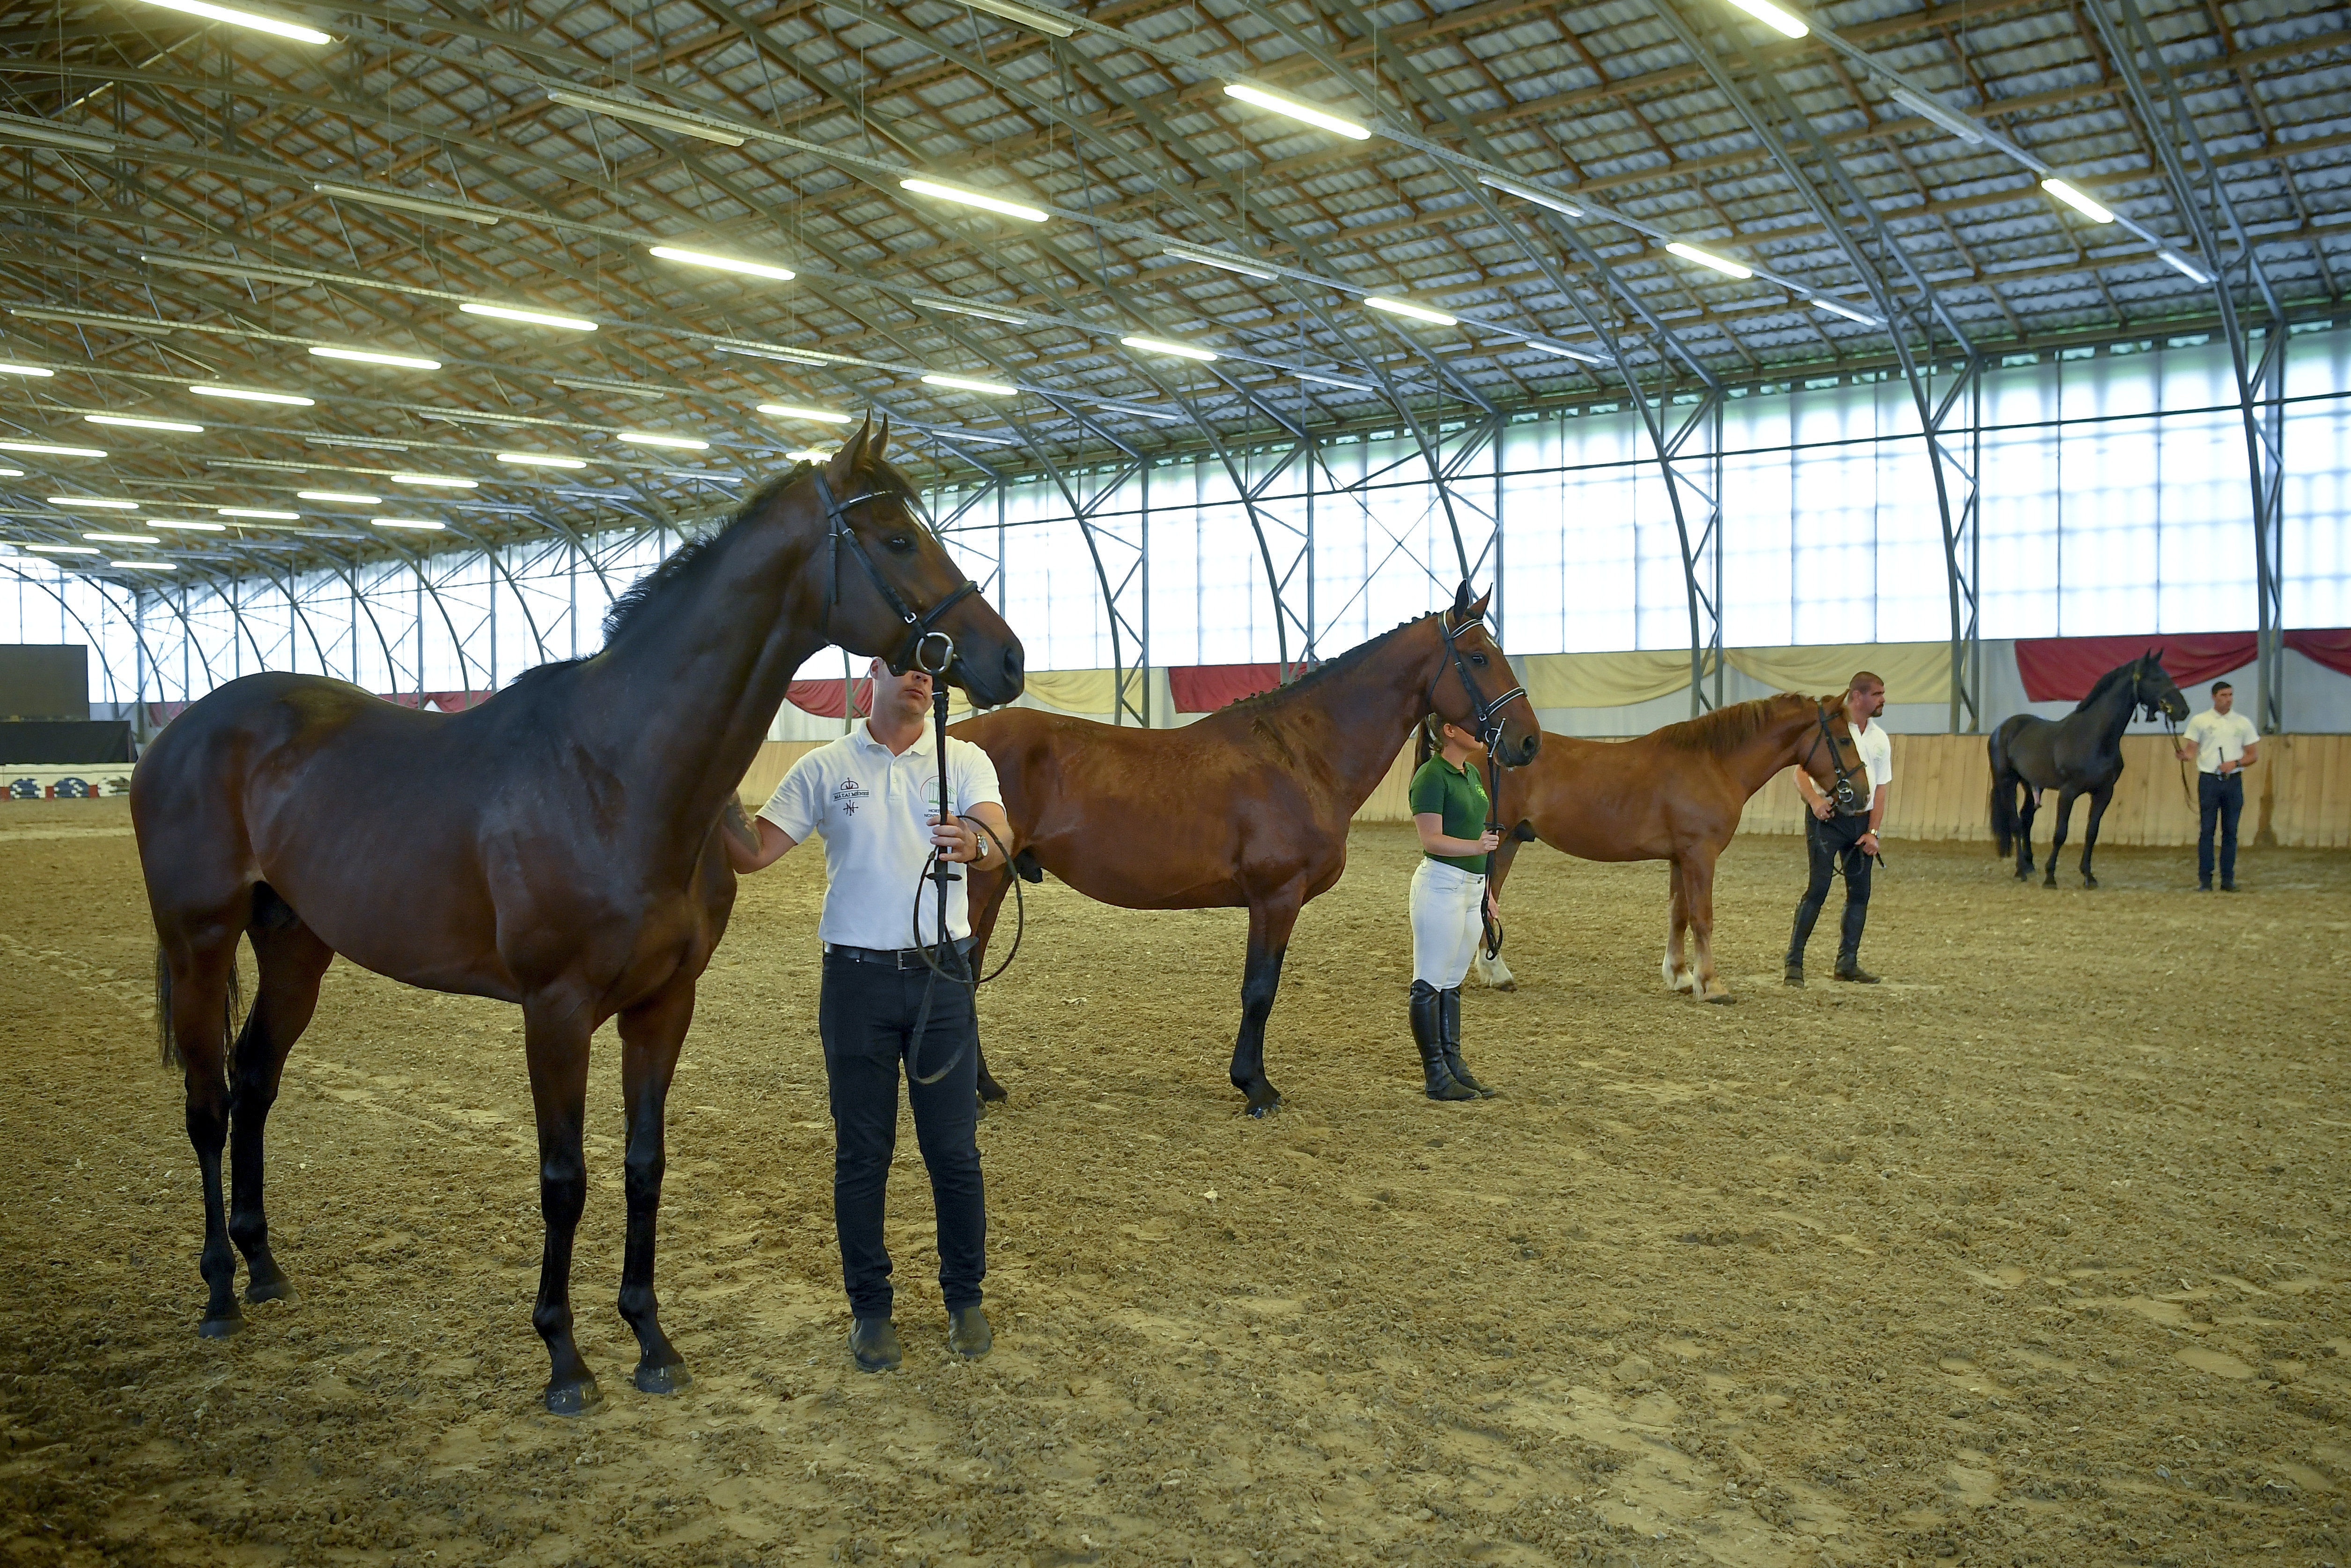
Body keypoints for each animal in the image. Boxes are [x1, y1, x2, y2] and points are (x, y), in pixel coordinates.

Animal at [124, 413, 1016, 1410]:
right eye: (896, 538)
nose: (1006, 658)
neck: (615, 770)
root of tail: (186, 727)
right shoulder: (553, 1012)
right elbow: (564, 1176)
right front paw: (564, 1355)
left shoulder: (663, 1005)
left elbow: (643, 1165)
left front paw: (652, 1340)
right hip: (198, 941)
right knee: (206, 1102)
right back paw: (217, 1292)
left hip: (296, 947)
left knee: (255, 1081)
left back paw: (265, 1265)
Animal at [954, 585, 1542, 1114]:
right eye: (1478, 656)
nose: (1529, 742)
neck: (1301, 757)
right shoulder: (1275, 896)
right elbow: (1259, 991)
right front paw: (1256, 1088)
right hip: (979, 883)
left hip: (997, 880)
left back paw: (986, 1087)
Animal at [1458, 696, 1862, 1006]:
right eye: (1843, 740)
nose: (1859, 795)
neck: (1713, 764)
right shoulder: (1700, 855)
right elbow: (1702, 918)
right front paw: (1710, 984)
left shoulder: (1680, 859)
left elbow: (1678, 915)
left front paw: (1681, 976)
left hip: (1507, 843)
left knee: (1489, 901)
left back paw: (1497, 973)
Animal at [1993, 648, 2191, 888]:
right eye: (2154, 678)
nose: (2183, 710)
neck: (2093, 737)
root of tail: (2002, 729)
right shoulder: (2068, 792)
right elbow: (2061, 833)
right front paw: (2051, 877)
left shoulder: (2104, 792)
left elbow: (2092, 833)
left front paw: (2089, 876)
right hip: (2007, 781)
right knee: (2014, 822)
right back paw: (2021, 869)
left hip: (2030, 784)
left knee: (2026, 820)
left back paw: (2029, 866)